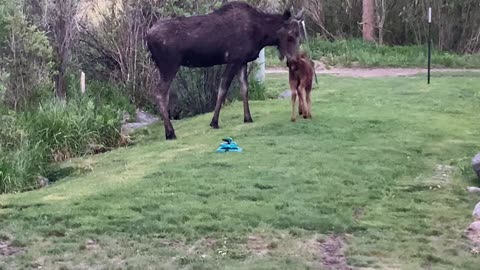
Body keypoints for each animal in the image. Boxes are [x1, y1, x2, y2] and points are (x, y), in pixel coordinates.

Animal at [144, 2, 306, 140]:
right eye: (290, 35)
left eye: (299, 34)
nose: (293, 61)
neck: (261, 35)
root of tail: (147, 36)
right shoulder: (233, 59)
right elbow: (223, 89)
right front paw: (214, 122)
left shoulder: (242, 61)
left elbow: (244, 89)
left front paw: (248, 118)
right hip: (169, 64)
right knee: (159, 93)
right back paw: (170, 132)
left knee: (163, 94)